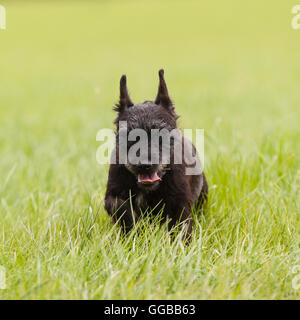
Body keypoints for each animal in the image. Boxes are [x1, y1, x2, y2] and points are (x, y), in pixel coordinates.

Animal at [104, 69, 207, 238]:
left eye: (161, 134)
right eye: (128, 135)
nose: (145, 164)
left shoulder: (179, 201)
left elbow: (180, 226)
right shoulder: (113, 194)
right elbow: (121, 207)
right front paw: (135, 231)